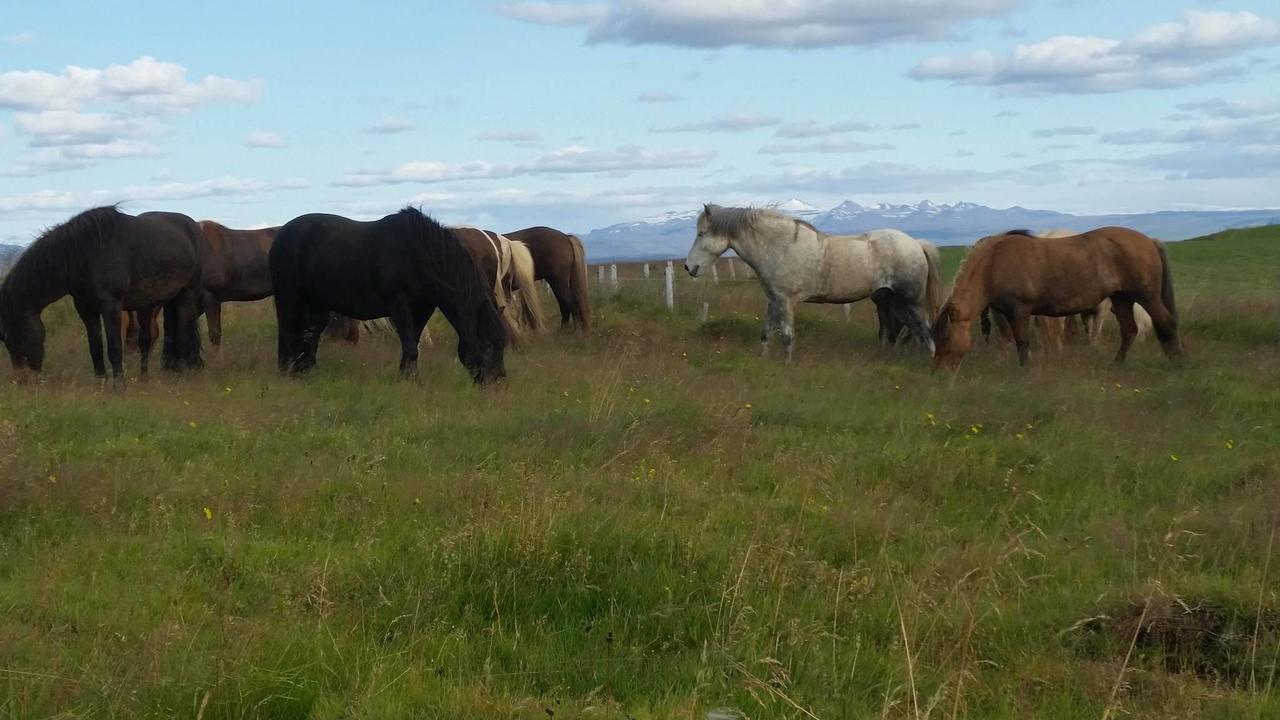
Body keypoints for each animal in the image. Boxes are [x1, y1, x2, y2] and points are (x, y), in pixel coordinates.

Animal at [0, 203, 203, 381]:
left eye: (15, 337)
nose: (22, 380)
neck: (85, 253)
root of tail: (191, 226)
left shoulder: (111, 306)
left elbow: (114, 348)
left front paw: (119, 386)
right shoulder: (85, 307)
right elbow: (95, 347)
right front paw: (101, 383)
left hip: (187, 294)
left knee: (184, 333)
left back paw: (185, 373)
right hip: (162, 301)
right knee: (157, 336)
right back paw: (153, 375)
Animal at [267, 206, 506, 381]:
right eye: (486, 346)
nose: (498, 381)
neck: (420, 253)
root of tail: (282, 234)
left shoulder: (423, 307)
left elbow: (413, 343)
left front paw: (406, 377)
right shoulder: (399, 303)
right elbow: (410, 345)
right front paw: (411, 381)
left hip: (318, 303)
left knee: (311, 335)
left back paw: (306, 370)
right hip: (289, 297)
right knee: (287, 332)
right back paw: (289, 370)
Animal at [686, 202, 947, 361]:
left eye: (701, 234)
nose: (689, 268)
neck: (780, 245)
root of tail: (916, 244)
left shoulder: (785, 300)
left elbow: (787, 336)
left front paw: (787, 365)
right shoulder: (773, 299)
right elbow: (767, 332)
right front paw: (762, 358)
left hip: (909, 301)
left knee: (924, 331)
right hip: (889, 301)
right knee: (904, 331)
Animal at [926, 225, 1182, 368]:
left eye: (946, 338)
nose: (939, 370)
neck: (994, 264)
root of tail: (1150, 241)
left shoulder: (1020, 310)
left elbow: (1022, 341)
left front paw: (1024, 370)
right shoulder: (1004, 312)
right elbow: (1010, 339)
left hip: (1146, 296)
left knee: (1165, 322)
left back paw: (1177, 362)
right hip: (1121, 299)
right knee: (1129, 330)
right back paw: (1117, 364)